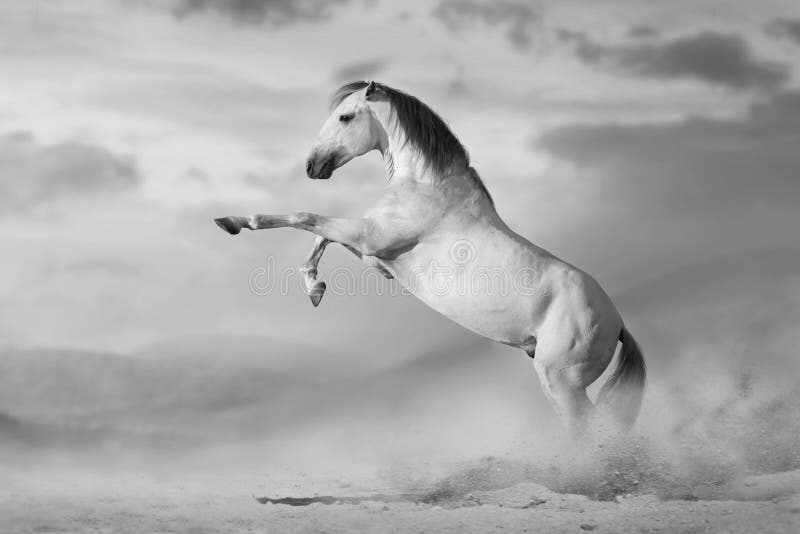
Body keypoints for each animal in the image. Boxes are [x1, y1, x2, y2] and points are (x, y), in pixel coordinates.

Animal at [214, 81, 646, 435]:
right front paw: (315, 288)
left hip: (561, 382)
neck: (425, 186)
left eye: (345, 116)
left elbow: (304, 218)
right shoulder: (374, 253)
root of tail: (617, 322)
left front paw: (234, 221)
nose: (311, 166)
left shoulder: (370, 237)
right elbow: (320, 237)